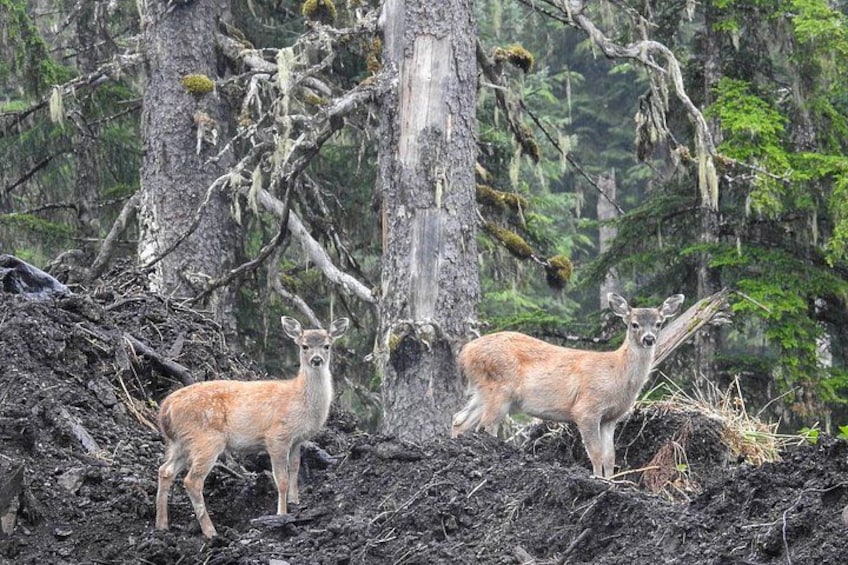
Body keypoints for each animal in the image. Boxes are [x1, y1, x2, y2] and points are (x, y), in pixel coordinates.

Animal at [154, 316, 349, 538]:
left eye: (327, 345)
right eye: (304, 346)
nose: (316, 360)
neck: (300, 399)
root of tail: (165, 408)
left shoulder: (297, 439)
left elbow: (295, 468)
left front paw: (295, 502)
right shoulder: (277, 435)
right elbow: (281, 479)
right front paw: (282, 514)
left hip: (181, 442)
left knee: (165, 471)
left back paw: (161, 525)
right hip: (205, 439)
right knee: (192, 481)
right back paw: (211, 532)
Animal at [451, 293, 684, 479]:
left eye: (659, 323)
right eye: (634, 324)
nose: (649, 339)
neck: (616, 374)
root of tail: (465, 352)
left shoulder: (611, 418)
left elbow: (610, 456)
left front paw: (612, 481)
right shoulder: (586, 409)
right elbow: (595, 453)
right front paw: (597, 479)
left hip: (483, 390)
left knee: (459, 419)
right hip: (499, 388)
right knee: (486, 426)